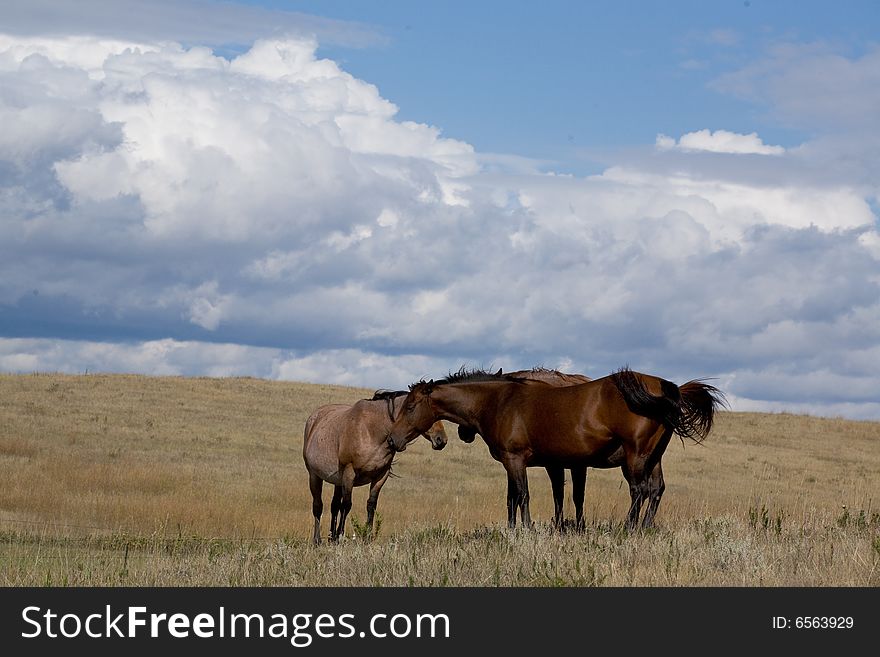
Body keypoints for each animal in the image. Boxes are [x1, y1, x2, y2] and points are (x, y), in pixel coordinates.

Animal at [304, 390, 454, 544]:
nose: (441, 440)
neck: (372, 430)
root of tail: (314, 418)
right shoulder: (349, 473)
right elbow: (346, 505)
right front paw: (340, 536)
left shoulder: (381, 475)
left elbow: (371, 505)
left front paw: (367, 537)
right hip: (315, 476)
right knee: (318, 506)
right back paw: (317, 540)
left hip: (338, 481)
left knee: (334, 506)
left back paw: (331, 538)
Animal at [388, 366, 724, 532]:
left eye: (411, 406)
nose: (393, 440)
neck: (499, 401)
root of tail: (666, 387)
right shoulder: (515, 462)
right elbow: (512, 497)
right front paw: (512, 529)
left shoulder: (517, 459)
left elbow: (523, 495)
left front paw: (526, 530)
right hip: (654, 456)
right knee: (656, 490)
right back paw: (645, 527)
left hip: (636, 455)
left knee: (639, 490)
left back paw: (629, 528)